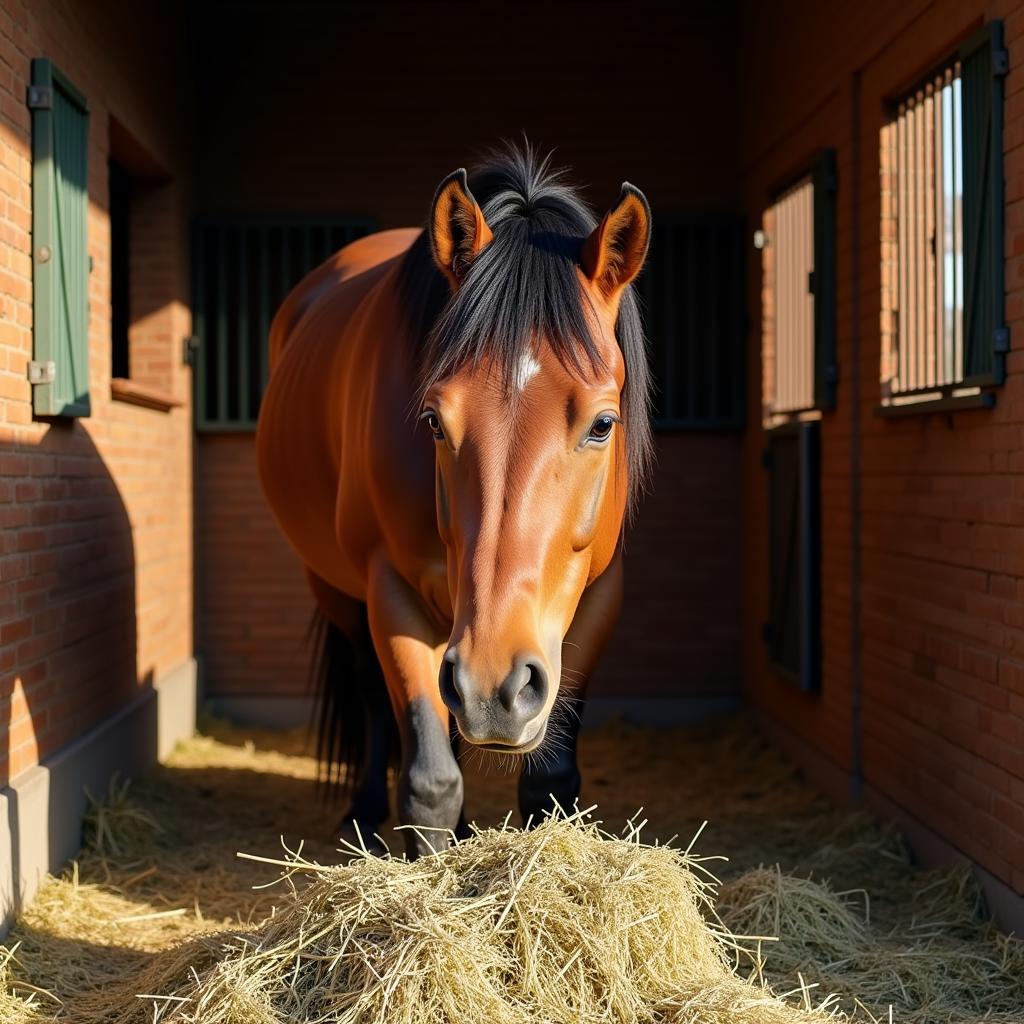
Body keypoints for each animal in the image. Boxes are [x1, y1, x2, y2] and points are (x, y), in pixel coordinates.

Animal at [260, 144, 651, 856]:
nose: (496, 686)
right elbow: (430, 783)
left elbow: (549, 782)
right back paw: (362, 813)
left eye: (603, 423)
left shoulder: (599, 595)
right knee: (370, 693)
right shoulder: (391, 590)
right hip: (337, 590)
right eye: (435, 422)